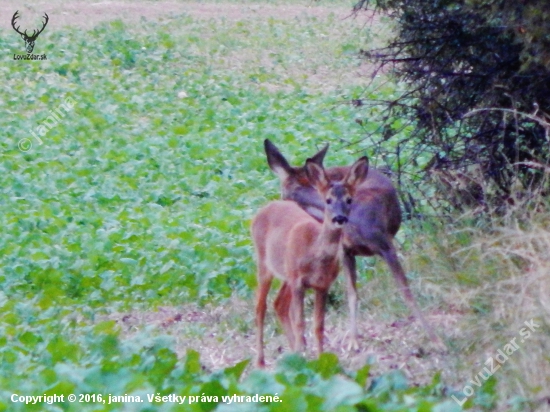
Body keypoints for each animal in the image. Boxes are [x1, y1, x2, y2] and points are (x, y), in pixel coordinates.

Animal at [254, 156, 370, 366]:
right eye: (328, 200)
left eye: (349, 200)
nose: (339, 218)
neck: (315, 253)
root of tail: (264, 208)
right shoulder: (298, 283)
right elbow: (300, 322)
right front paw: (303, 361)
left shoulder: (322, 285)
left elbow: (318, 325)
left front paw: (320, 360)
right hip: (264, 264)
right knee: (260, 307)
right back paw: (260, 360)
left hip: (286, 274)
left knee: (278, 303)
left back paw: (294, 350)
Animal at [266, 139, 442, 348]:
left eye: (283, 195)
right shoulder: (345, 251)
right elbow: (352, 294)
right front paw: (352, 341)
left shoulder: (385, 244)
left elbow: (405, 290)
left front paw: (435, 338)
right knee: (281, 300)